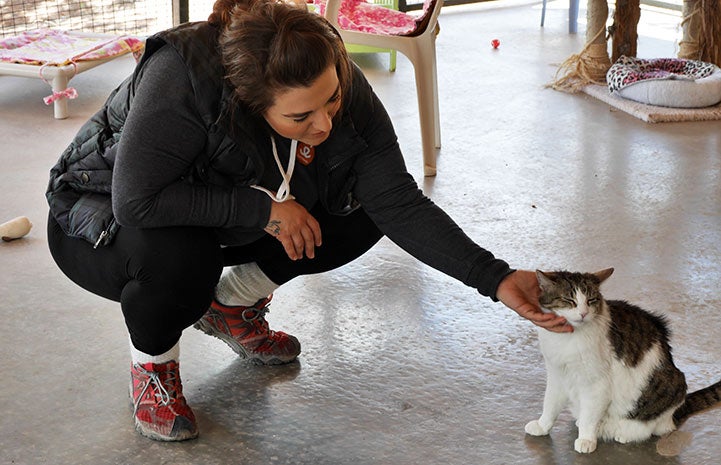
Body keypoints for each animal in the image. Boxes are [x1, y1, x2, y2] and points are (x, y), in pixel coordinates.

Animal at [524, 268, 720, 454]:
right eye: (569, 300)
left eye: (591, 300)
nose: (583, 313)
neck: (565, 340)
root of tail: (675, 414)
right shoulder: (557, 374)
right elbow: (550, 404)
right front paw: (542, 426)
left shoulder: (596, 384)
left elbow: (589, 416)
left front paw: (586, 439)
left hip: (673, 384)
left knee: (652, 427)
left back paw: (620, 432)